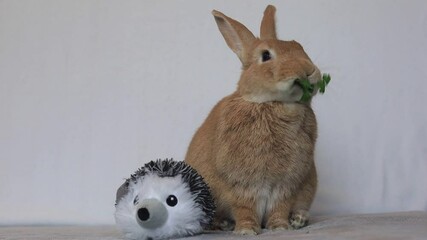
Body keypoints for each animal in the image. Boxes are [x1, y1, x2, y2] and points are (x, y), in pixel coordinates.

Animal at [186, 4, 322, 235]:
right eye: (266, 55)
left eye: (299, 47)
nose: (309, 70)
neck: (273, 103)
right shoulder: (241, 185)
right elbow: (244, 208)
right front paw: (247, 230)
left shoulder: (286, 185)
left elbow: (280, 207)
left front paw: (280, 227)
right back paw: (224, 224)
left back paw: (298, 219)